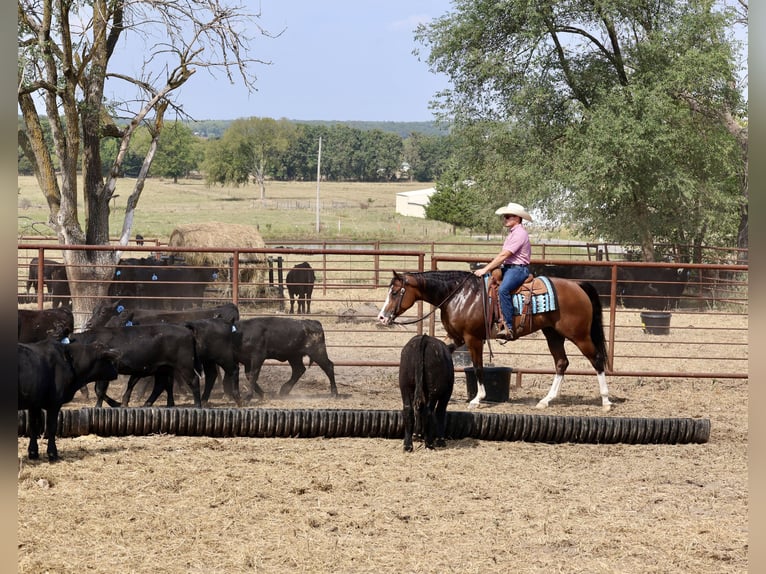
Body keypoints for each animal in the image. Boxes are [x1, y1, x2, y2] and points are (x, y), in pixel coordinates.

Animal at [377, 270, 612, 411]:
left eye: (396, 292)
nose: (382, 317)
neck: (457, 295)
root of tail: (578, 286)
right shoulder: (456, 337)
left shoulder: (472, 338)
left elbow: (479, 368)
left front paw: (477, 398)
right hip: (553, 334)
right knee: (561, 363)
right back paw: (546, 400)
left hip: (579, 335)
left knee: (597, 359)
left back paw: (606, 401)